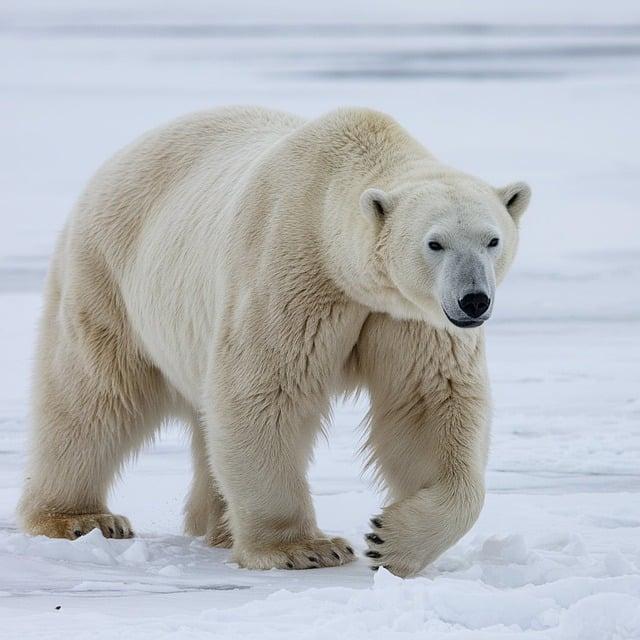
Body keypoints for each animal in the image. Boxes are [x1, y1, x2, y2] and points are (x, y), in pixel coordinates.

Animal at [18, 107, 528, 576]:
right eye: (434, 243)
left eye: (492, 240)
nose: (473, 300)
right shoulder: (288, 270)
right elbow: (264, 391)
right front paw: (305, 548)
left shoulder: (408, 317)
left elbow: (431, 404)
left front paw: (392, 542)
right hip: (107, 275)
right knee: (93, 394)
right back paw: (81, 518)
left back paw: (218, 525)